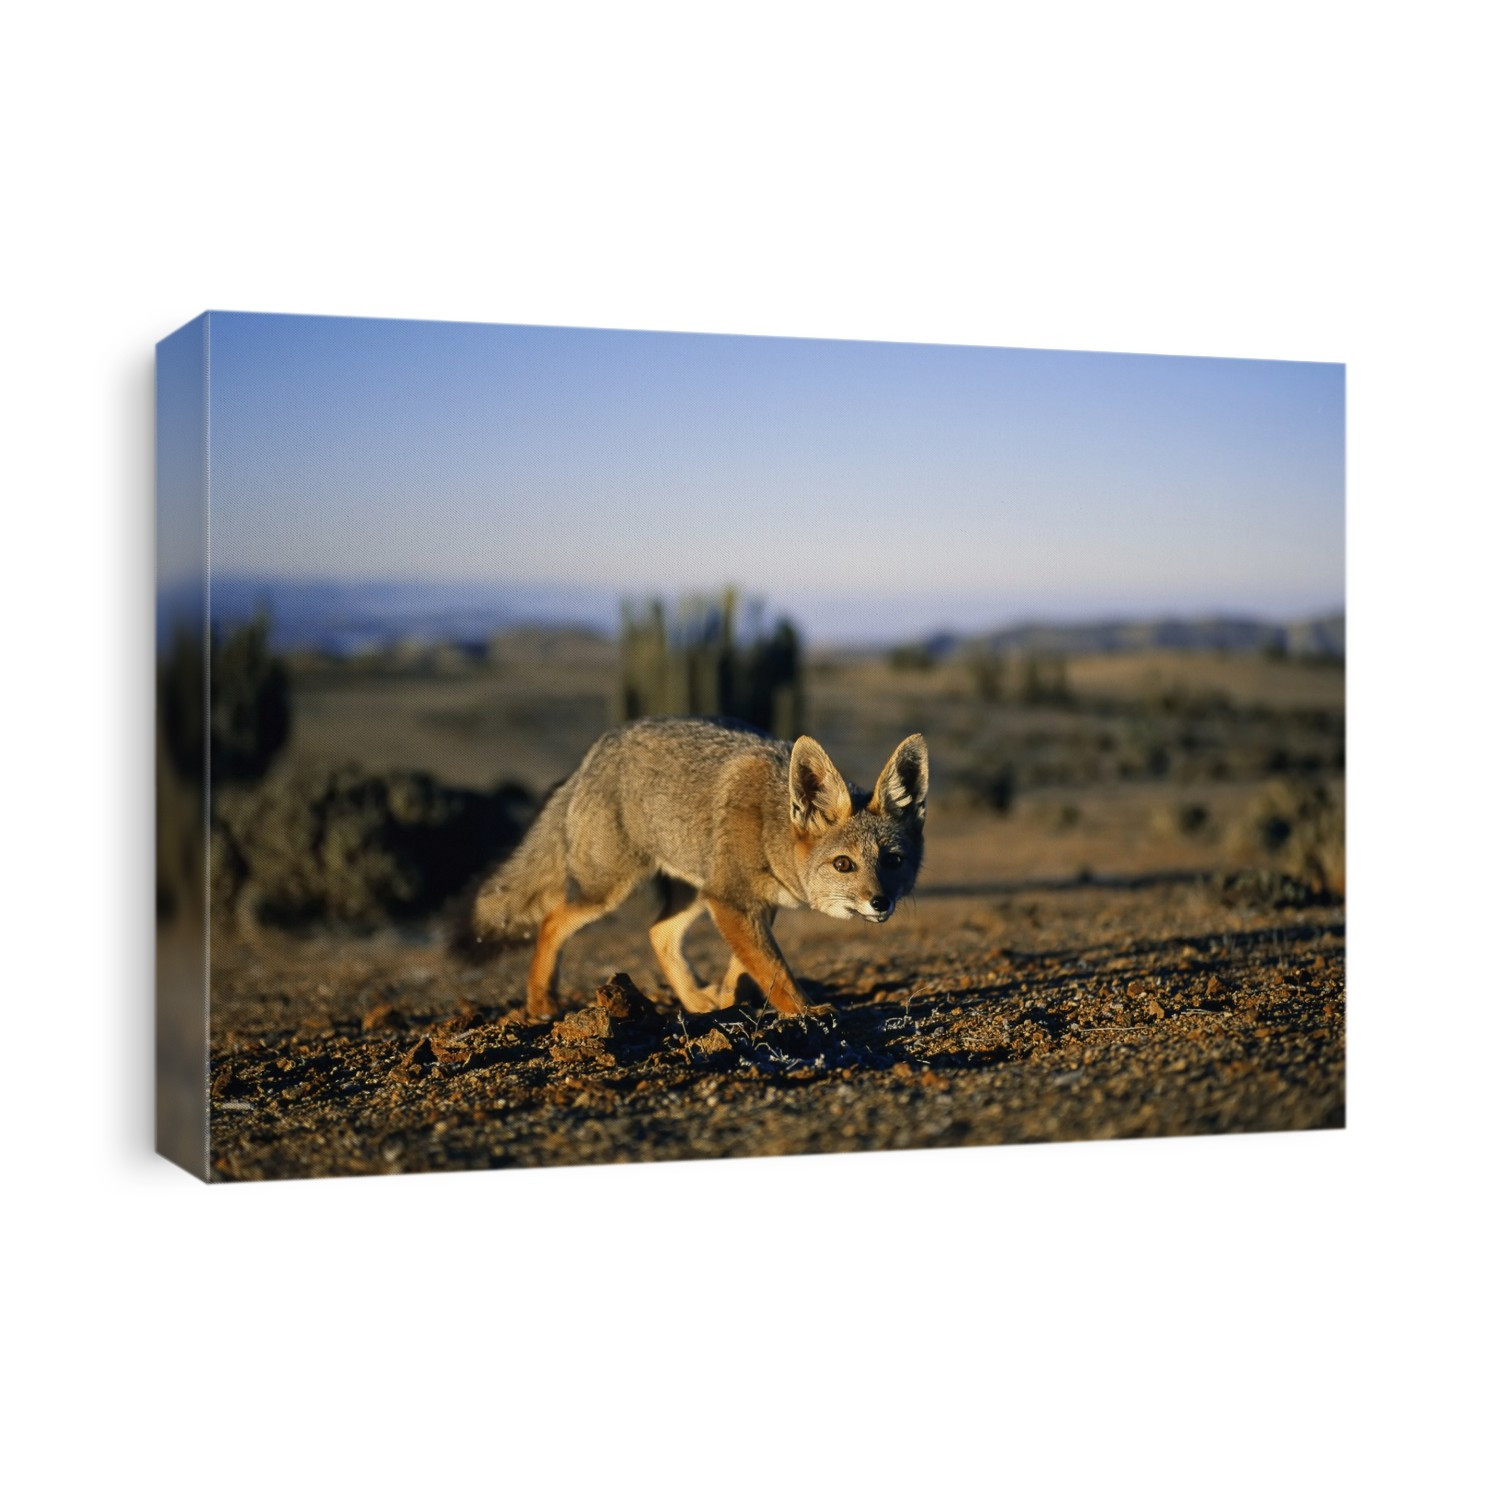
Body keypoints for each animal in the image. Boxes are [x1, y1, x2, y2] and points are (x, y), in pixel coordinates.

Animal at [469, 716, 928, 1019]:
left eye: (893, 861)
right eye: (843, 864)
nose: (880, 902)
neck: (772, 824)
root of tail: (598, 749)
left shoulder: (751, 903)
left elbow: (749, 963)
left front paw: (727, 997)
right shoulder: (731, 900)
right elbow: (774, 967)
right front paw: (805, 1012)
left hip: (692, 890)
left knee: (658, 932)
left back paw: (693, 1002)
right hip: (610, 890)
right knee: (551, 921)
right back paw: (541, 1003)